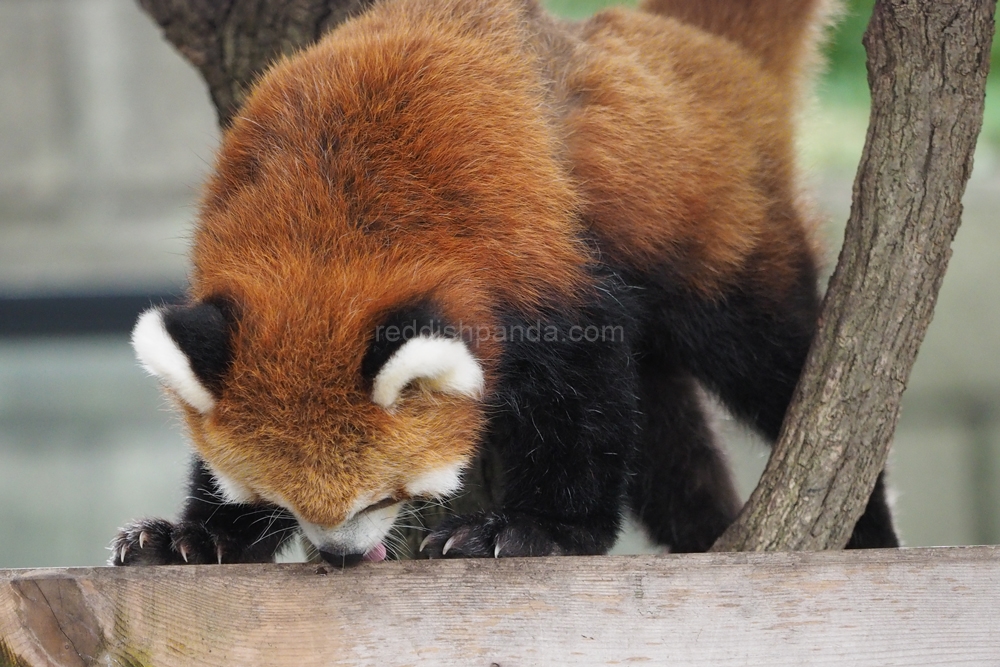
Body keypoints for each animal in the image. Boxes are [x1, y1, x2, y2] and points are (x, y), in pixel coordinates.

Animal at [111, 0, 900, 568]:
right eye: (278, 496)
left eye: (382, 496)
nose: (339, 556)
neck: (325, 224)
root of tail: (692, 46)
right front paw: (196, 537)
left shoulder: (527, 243)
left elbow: (582, 388)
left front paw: (537, 528)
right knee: (666, 438)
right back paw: (705, 533)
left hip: (716, 233)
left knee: (771, 359)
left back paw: (862, 529)